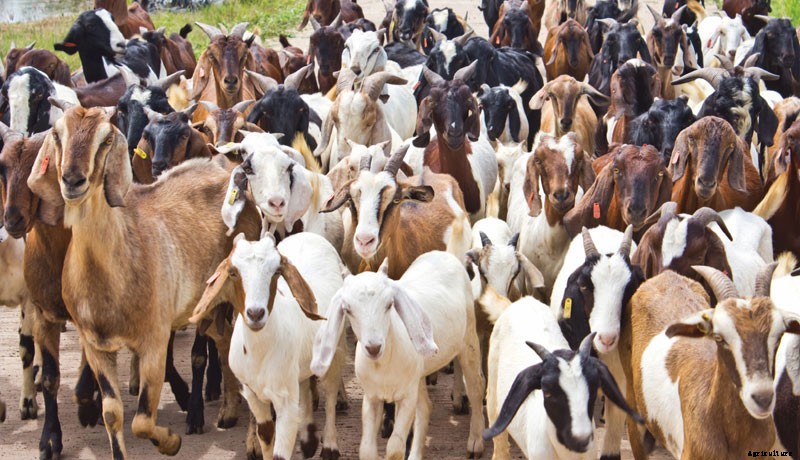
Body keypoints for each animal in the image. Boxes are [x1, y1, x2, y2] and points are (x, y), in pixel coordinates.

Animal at [26, 106, 261, 458]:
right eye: (57, 133)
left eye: (106, 138)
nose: (72, 180)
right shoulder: (95, 346)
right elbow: (112, 413)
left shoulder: (154, 340)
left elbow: (142, 421)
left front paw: (172, 441)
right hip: (211, 301)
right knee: (224, 337)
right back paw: (230, 411)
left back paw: (252, 439)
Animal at [190, 232, 345, 460]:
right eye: (233, 272)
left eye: (276, 272)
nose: (256, 313)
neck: (260, 353)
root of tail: (309, 234)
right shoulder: (253, 394)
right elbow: (265, 433)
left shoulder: (284, 402)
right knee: (305, 384)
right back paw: (309, 441)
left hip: (334, 347)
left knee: (331, 391)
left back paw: (330, 447)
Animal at [312, 252, 486, 459]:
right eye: (347, 309)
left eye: (389, 305)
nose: (373, 347)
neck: (384, 364)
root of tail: (442, 253)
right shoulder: (371, 396)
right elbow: (366, 449)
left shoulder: (406, 398)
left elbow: (395, 447)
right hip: (417, 375)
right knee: (425, 407)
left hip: (469, 339)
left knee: (476, 388)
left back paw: (476, 442)